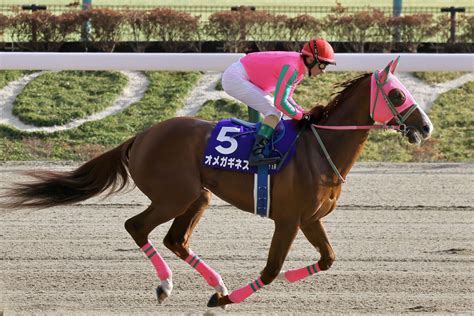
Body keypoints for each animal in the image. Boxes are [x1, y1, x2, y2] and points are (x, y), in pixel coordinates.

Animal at [0, 58, 434, 308]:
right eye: (397, 94)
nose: (426, 127)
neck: (319, 147)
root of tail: (141, 136)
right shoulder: (288, 220)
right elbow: (272, 268)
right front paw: (226, 300)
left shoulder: (310, 219)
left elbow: (327, 259)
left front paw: (234, 292)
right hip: (174, 196)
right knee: (136, 226)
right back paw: (168, 285)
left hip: (199, 196)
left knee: (176, 239)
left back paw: (216, 282)